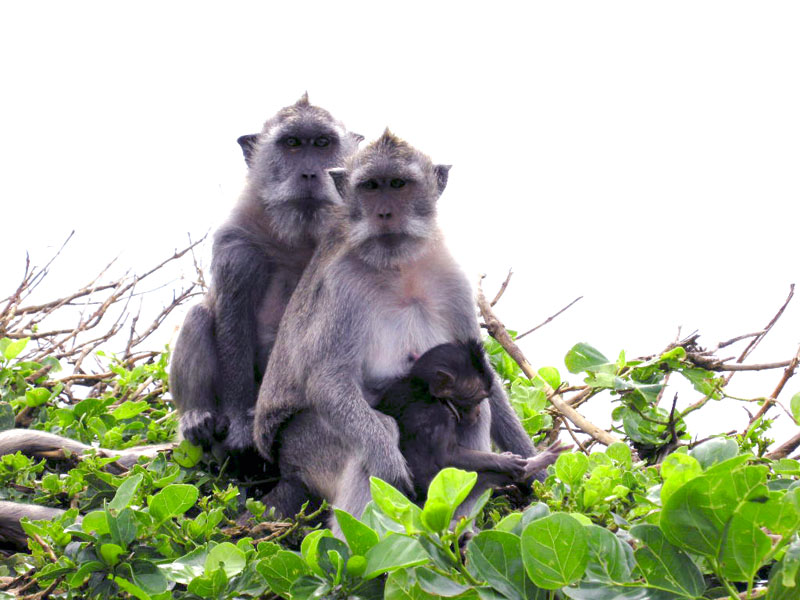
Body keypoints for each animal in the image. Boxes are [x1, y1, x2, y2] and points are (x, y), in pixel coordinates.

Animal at [172, 94, 366, 460]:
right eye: (292, 144)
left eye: (322, 143)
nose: (309, 173)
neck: (299, 235)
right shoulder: (238, 239)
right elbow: (233, 319)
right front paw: (238, 426)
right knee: (199, 315)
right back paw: (196, 415)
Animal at [255, 130, 544, 520]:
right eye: (370, 187)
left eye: (397, 184)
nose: (384, 213)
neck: (398, 267)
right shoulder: (342, 284)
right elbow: (327, 380)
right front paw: (388, 461)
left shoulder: (452, 278)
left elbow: (485, 381)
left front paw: (535, 468)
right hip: (302, 445)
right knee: (370, 437)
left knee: (476, 410)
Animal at [376, 338, 568, 502]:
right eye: (477, 399)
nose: (477, 412)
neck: (423, 387)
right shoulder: (441, 417)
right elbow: (447, 457)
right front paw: (505, 462)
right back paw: (535, 463)